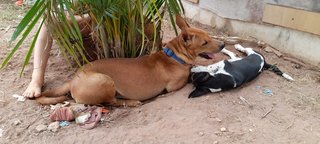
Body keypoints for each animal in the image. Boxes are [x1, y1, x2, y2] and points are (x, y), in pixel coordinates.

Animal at [36, 15, 224, 106]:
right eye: (205, 43)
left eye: (209, 36)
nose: (222, 44)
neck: (174, 55)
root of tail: (72, 80)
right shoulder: (174, 86)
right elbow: (189, 73)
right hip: (105, 81)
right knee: (111, 102)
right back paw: (132, 102)